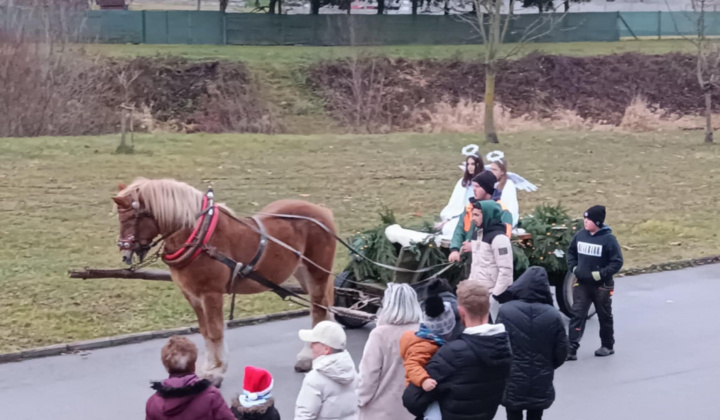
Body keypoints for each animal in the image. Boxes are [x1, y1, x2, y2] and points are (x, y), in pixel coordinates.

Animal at [112, 177, 338, 384]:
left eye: (130, 218)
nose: (124, 254)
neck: (200, 237)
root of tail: (321, 210)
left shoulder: (211, 293)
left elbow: (214, 331)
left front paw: (216, 370)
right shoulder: (192, 294)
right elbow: (204, 332)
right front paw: (208, 367)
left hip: (317, 273)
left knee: (318, 311)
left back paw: (308, 357)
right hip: (303, 275)